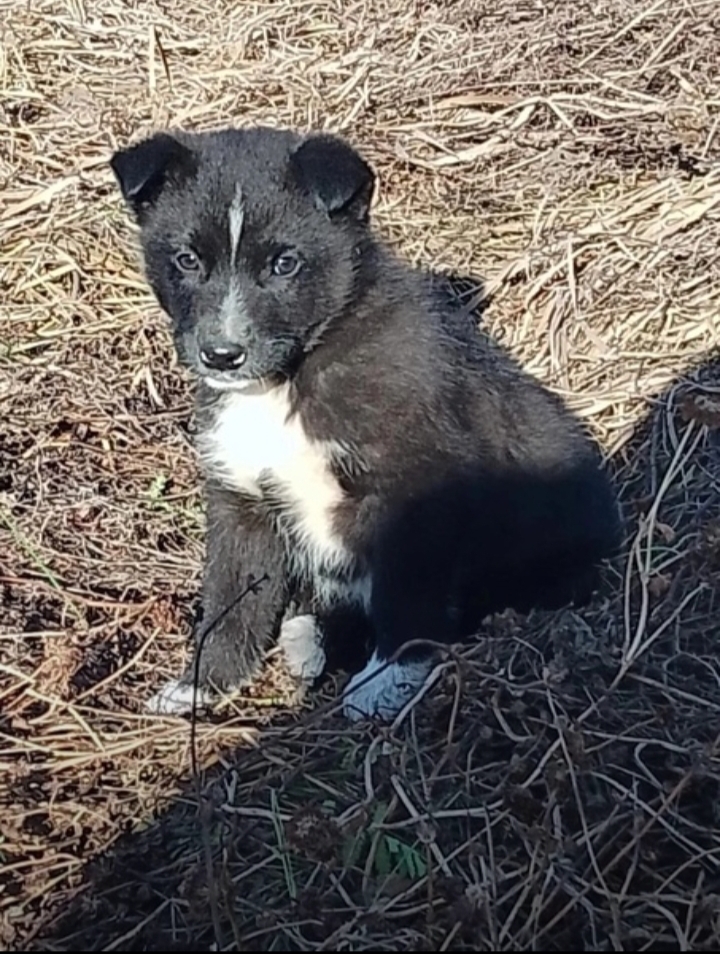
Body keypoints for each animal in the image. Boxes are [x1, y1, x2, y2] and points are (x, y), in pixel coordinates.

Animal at [109, 128, 620, 720]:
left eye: (285, 264)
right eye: (187, 259)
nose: (221, 355)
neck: (290, 380)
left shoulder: (415, 493)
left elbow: (406, 592)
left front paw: (383, 683)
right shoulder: (242, 502)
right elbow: (230, 597)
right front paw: (203, 685)